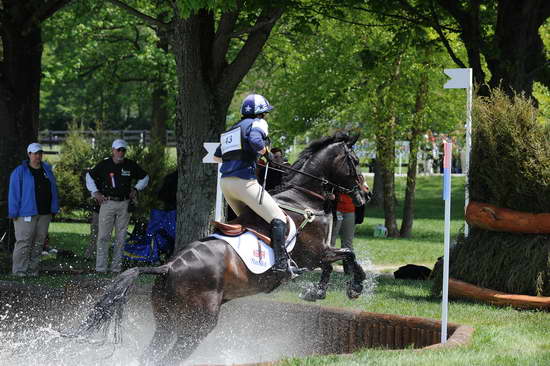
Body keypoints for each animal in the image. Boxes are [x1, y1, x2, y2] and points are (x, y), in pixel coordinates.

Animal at [72, 133, 366, 364]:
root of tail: (168, 266)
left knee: (151, 355)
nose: (365, 194)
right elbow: (347, 255)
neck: (304, 198)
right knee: (172, 356)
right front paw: (354, 287)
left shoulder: (318, 254)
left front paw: (318, 292)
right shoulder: (314, 252)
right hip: (197, 326)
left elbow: (337, 263)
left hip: (167, 323)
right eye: (355, 161)